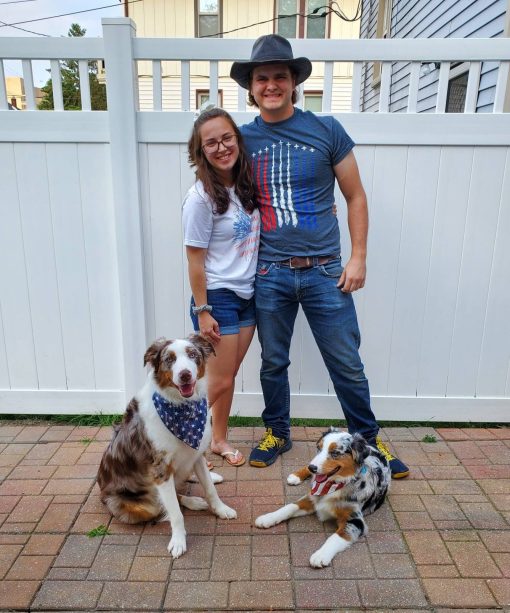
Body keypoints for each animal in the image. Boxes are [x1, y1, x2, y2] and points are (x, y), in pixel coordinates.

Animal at [96, 338, 236, 556]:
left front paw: (221, 509)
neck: (182, 407)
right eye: (169, 359)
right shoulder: (160, 468)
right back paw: (193, 502)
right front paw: (178, 541)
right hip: (138, 506)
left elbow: (210, 489)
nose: (185, 374)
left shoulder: (197, 454)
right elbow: (176, 513)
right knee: (163, 503)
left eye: (193, 354)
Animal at [255, 428, 390, 568]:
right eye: (319, 448)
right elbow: (289, 507)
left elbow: (335, 537)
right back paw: (295, 476)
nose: (312, 468)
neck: (335, 485)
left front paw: (320, 555)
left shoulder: (355, 521)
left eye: (335, 453)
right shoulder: (312, 497)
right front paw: (267, 518)